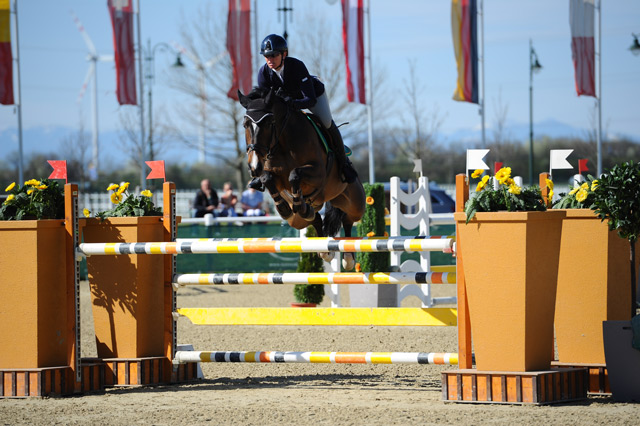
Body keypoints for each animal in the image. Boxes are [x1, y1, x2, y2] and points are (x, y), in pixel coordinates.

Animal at [239, 87, 364, 270]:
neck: (284, 141)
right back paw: (324, 248)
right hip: (298, 220)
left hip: (355, 203)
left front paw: (298, 202)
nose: (254, 166)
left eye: (269, 123)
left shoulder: (318, 173)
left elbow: (295, 174)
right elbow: (267, 178)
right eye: (245, 125)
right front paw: (284, 207)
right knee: (316, 219)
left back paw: (348, 257)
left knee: (348, 219)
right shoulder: (273, 175)